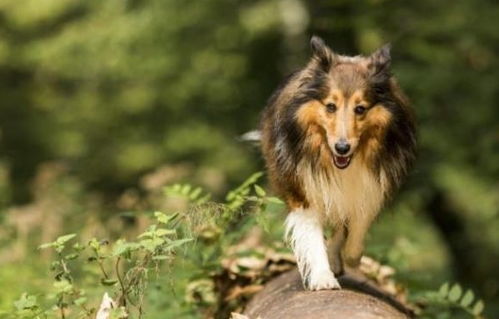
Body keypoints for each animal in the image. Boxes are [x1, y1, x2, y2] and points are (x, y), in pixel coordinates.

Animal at [260, 36, 416, 292]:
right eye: (330, 106)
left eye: (360, 108)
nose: (342, 148)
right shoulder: (304, 189)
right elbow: (313, 237)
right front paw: (323, 277)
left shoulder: (371, 186)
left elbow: (356, 227)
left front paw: (350, 256)